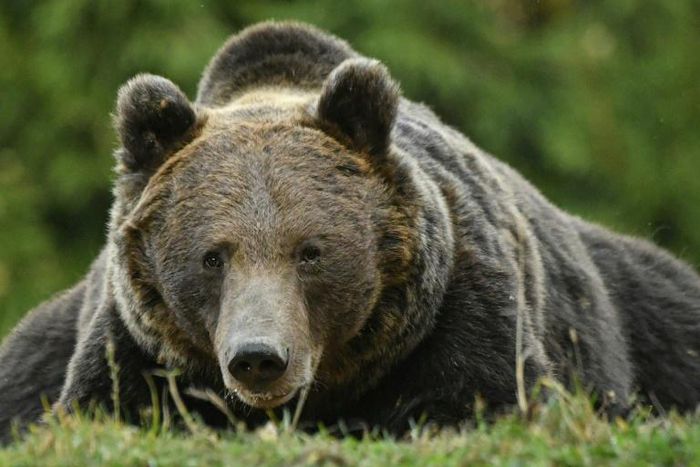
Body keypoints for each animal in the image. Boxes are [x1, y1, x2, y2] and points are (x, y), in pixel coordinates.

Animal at [1, 21, 699, 443]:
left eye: (310, 251)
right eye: (212, 257)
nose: (259, 357)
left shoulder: (464, 305)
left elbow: (482, 398)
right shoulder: (134, 343)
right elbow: (105, 407)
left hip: (636, 312)